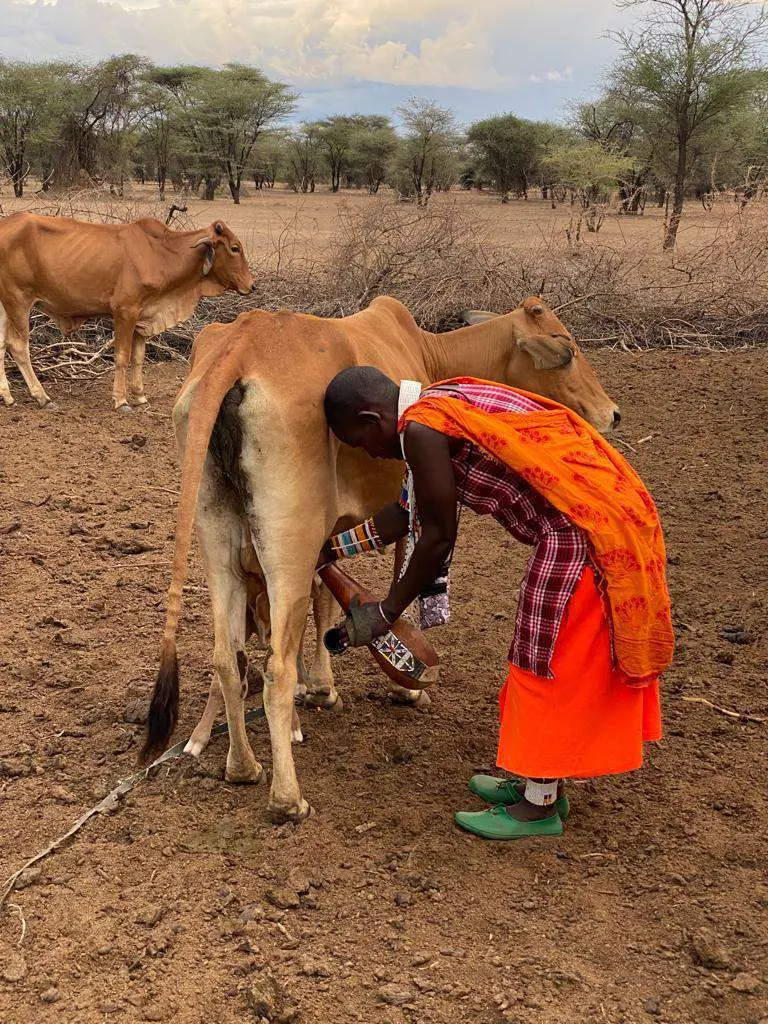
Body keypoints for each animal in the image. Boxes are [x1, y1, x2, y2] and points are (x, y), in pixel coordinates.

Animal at [0, 213, 254, 412]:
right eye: (235, 248)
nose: (251, 285)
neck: (162, 254)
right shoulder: (125, 311)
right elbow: (122, 356)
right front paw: (121, 400)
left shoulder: (144, 315)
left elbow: (138, 358)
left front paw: (140, 396)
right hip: (18, 301)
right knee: (18, 346)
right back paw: (42, 397)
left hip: (4, 304)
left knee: (1, 344)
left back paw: (7, 396)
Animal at [143, 295, 621, 823]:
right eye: (568, 350)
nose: (612, 414)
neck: (428, 358)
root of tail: (238, 349)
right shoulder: (411, 490)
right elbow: (398, 577)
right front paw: (404, 689)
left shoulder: (329, 531)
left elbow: (324, 599)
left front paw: (323, 688)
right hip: (287, 542)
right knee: (274, 670)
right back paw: (288, 798)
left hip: (219, 542)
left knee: (230, 658)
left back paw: (242, 766)